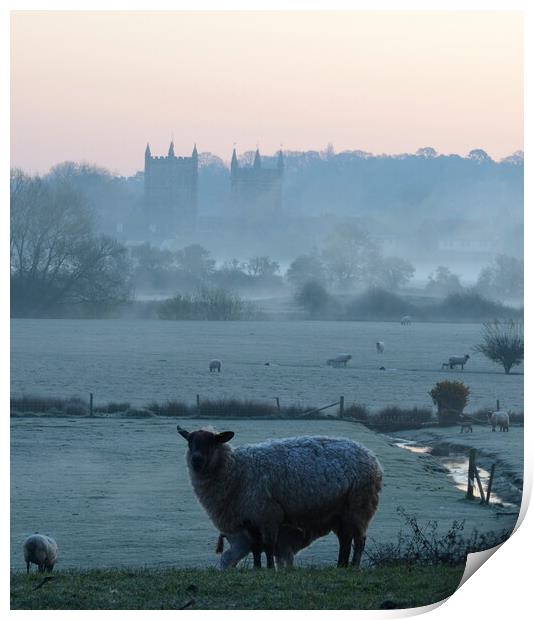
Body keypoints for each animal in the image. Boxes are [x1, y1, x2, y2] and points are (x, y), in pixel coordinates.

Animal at [178, 426, 384, 568]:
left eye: (212, 442)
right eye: (189, 442)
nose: (196, 460)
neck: (236, 469)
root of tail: (372, 458)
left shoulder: (268, 514)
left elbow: (268, 546)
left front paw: (269, 569)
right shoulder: (250, 518)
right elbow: (256, 547)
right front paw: (257, 568)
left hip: (360, 505)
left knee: (359, 540)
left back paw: (354, 566)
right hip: (340, 512)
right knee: (345, 540)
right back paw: (341, 566)